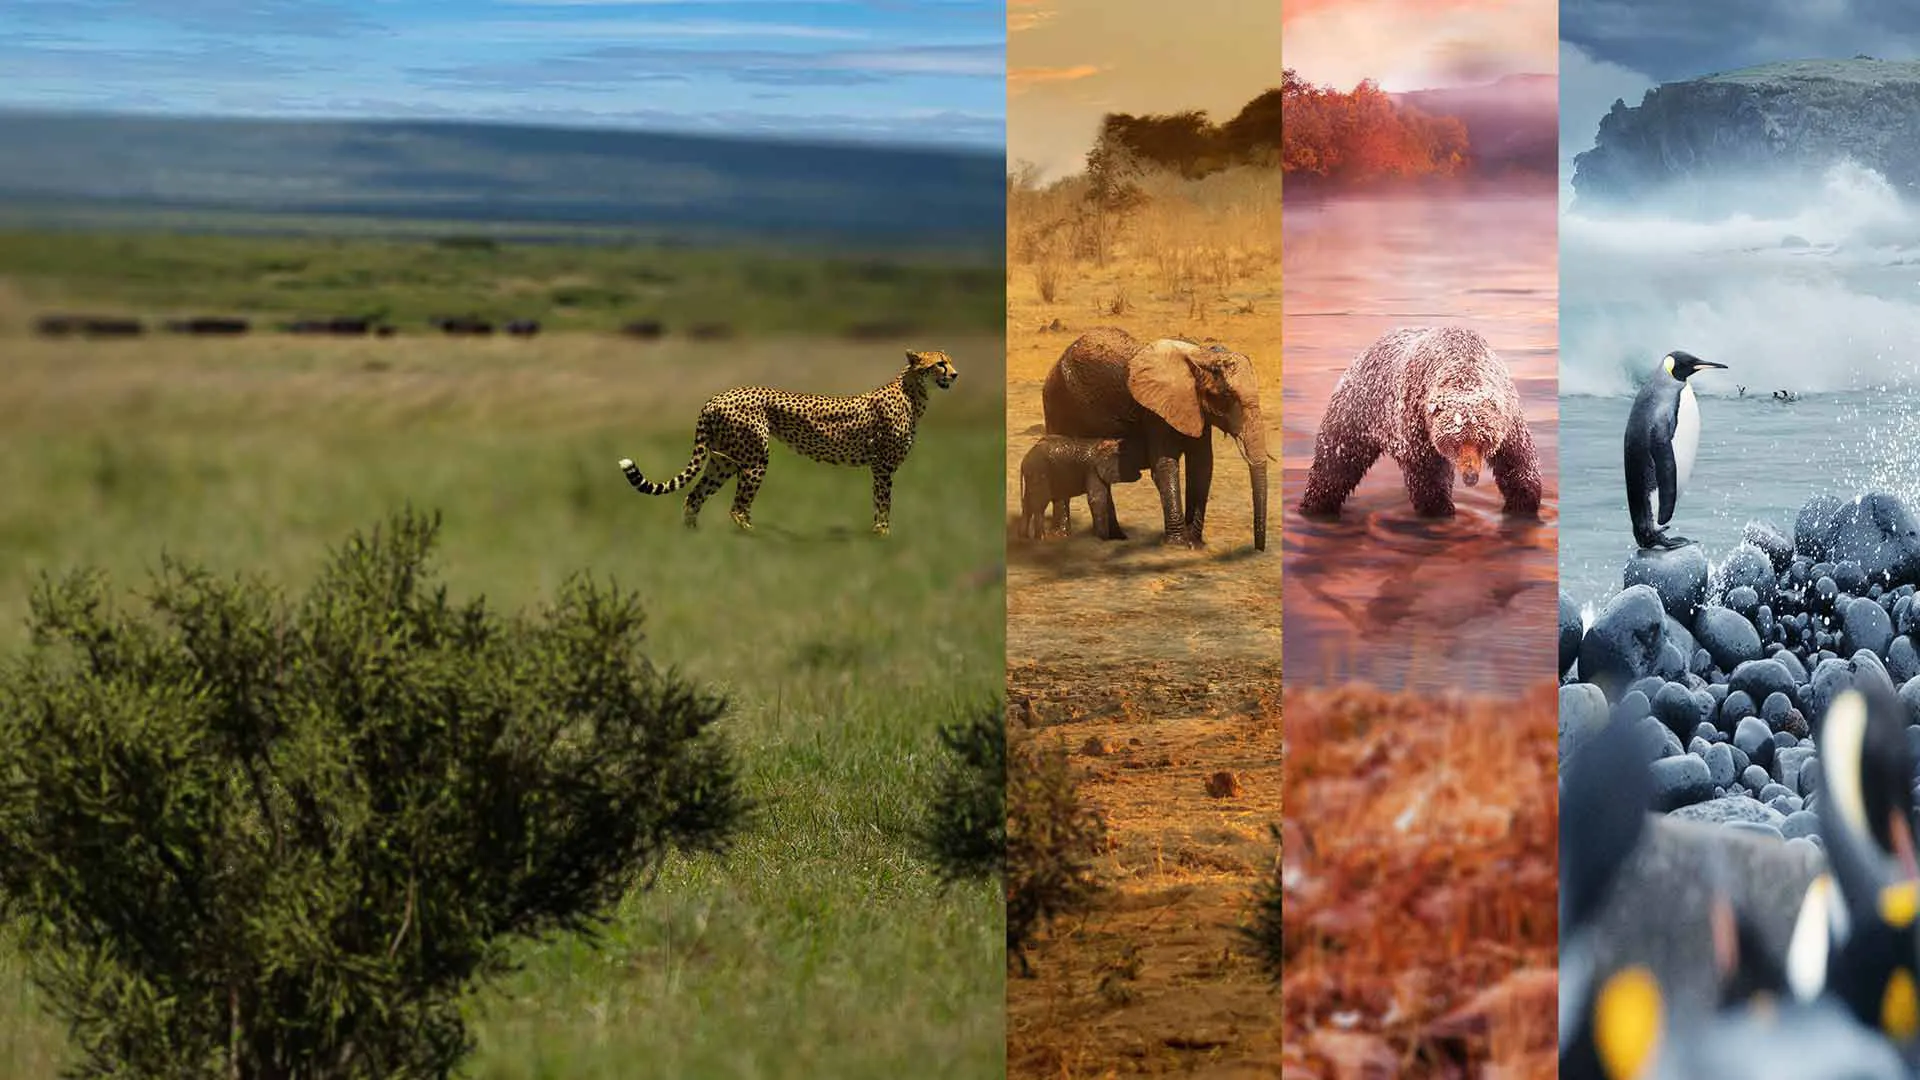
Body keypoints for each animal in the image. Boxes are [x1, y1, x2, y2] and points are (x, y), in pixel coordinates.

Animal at [617, 349, 959, 535]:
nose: (955, 374)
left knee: (694, 497)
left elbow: (881, 504)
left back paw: (695, 538)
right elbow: (883, 504)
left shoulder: (880, 467)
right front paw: (882, 536)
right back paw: (757, 539)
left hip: (723, 459)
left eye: (949, 361)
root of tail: (717, 396)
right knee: (737, 509)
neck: (913, 391)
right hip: (754, 459)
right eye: (939, 363)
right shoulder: (883, 466)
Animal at [1018, 434, 1146, 541]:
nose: (1140, 475)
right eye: (1125, 460)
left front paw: (1119, 538)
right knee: (1040, 505)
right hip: (1039, 472)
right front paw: (1103, 539)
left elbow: (1108, 500)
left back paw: (1024, 537)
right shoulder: (1092, 470)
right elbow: (1097, 500)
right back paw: (1041, 539)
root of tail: (1024, 460)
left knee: (1029, 504)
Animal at [1041, 327, 1268, 550]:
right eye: (1227, 395)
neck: (1201, 355)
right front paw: (1177, 546)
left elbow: (1201, 465)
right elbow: (1165, 465)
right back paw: (1060, 537)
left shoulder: (1196, 410)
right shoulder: (1155, 411)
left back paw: (1116, 538)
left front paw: (1195, 544)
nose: (1258, 550)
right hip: (1056, 402)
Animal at [1299, 325, 1541, 519]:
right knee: (1335, 463)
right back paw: (1315, 505)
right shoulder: (1418, 418)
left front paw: (1523, 501)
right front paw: (1439, 508)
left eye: (1483, 442)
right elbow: (1427, 470)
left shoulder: (1508, 420)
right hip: (1356, 412)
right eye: (1455, 443)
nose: (1471, 477)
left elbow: (1516, 460)